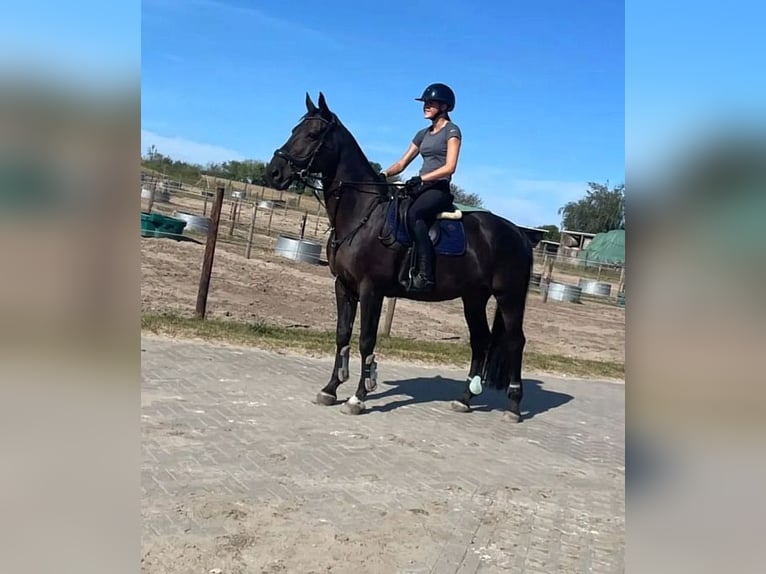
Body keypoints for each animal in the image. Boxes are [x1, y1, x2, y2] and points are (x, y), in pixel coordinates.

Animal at [266, 93, 534, 421]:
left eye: (313, 134)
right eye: (295, 129)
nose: (274, 172)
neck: (363, 214)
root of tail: (519, 234)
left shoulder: (372, 290)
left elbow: (366, 340)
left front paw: (358, 397)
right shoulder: (343, 285)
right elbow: (342, 335)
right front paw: (330, 389)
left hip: (509, 296)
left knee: (515, 341)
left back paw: (514, 406)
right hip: (474, 297)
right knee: (480, 340)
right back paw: (464, 399)